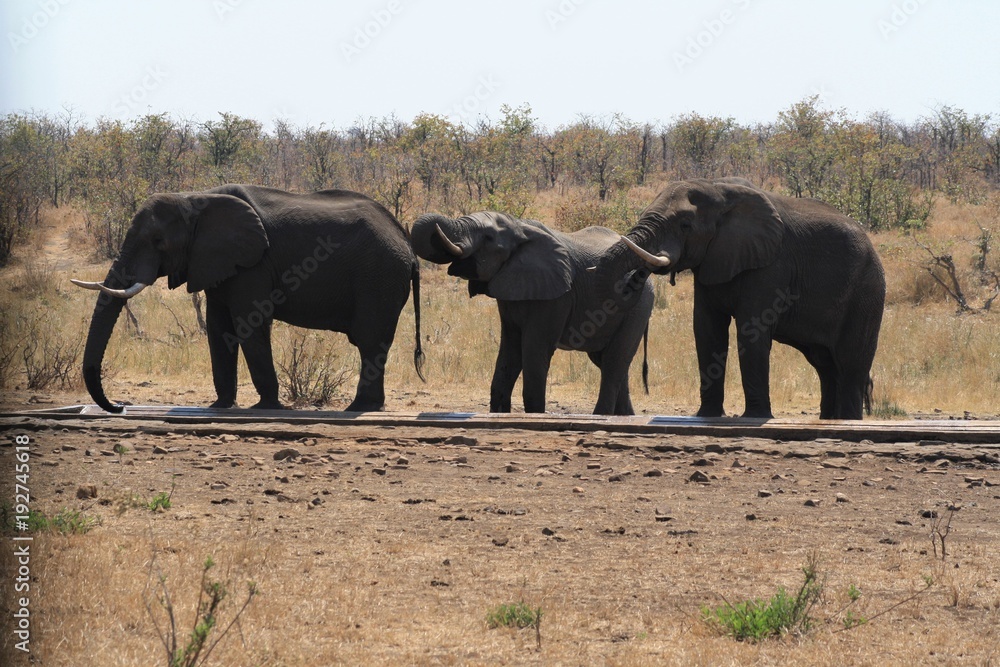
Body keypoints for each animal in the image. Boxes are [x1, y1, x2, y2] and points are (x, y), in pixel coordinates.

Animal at [73, 184, 426, 412]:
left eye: (158, 241)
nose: (119, 406)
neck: (197, 197)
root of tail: (407, 245)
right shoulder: (218, 263)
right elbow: (218, 328)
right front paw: (219, 406)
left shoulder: (253, 264)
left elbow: (249, 323)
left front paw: (267, 407)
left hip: (378, 277)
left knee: (369, 341)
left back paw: (359, 408)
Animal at [410, 211, 652, 414]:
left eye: (488, 237)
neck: (520, 227)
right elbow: (510, 353)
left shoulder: (557, 297)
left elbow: (535, 352)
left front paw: (535, 413)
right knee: (610, 363)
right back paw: (626, 416)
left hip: (637, 309)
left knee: (613, 363)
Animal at [592, 177, 884, 418]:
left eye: (685, 225)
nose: (635, 277)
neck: (719, 189)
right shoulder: (711, 262)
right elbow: (707, 330)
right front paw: (706, 416)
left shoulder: (772, 265)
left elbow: (751, 330)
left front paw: (755, 417)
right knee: (825, 366)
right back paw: (830, 419)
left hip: (866, 293)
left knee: (850, 366)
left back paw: (848, 420)